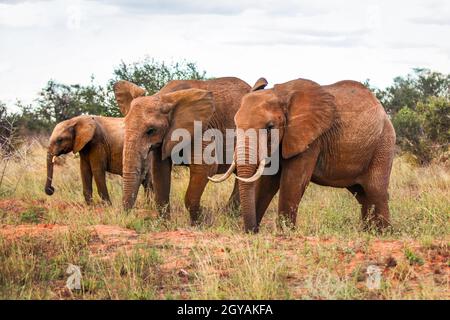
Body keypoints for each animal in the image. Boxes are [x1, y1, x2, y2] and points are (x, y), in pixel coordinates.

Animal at [112, 77, 251, 224]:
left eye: (151, 130)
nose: (126, 216)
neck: (163, 96)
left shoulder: (202, 128)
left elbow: (205, 168)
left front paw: (203, 220)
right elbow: (159, 170)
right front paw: (165, 224)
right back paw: (229, 215)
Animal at [210, 77, 394, 232]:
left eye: (270, 127)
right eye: (235, 125)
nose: (252, 230)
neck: (281, 94)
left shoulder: (310, 138)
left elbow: (293, 180)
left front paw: (285, 232)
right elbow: (267, 182)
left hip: (383, 145)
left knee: (376, 190)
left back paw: (381, 233)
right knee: (362, 194)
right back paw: (367, 231)